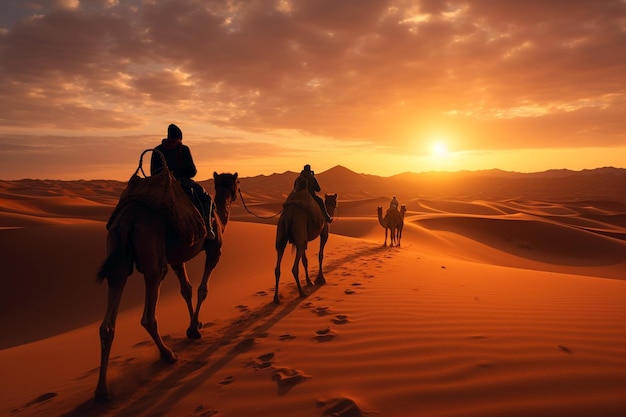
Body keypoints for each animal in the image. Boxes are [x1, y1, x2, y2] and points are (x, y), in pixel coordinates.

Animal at [94, 171, 238, 402]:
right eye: (237, 183)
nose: (235, 194)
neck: (219, 218)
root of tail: (128, 219)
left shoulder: (177, 259)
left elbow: (186, 289)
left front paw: (195, 325)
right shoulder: (214, 250)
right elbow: (202, 289)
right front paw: (194, 329)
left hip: (118, 254)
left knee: (107, 322)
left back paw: (102, 390)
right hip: (152, 258)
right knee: (148, 315)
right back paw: (168, 354)